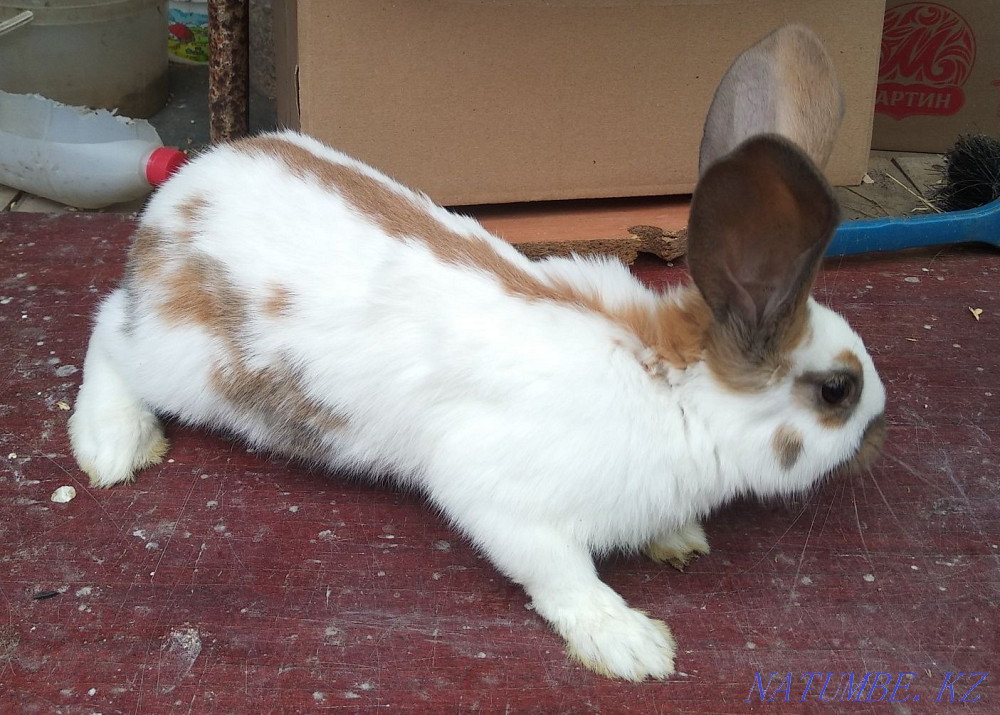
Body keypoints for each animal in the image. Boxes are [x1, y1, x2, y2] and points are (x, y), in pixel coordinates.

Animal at [68, 23, 886, 681]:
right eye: (836, 391)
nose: (879, 421)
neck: (673, 389)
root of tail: (179, 196)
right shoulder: (500, 495)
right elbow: (561, 575)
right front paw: (631, 644)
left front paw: (677, 540)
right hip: (181, 362)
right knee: (107, 330)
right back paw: (114, 444)